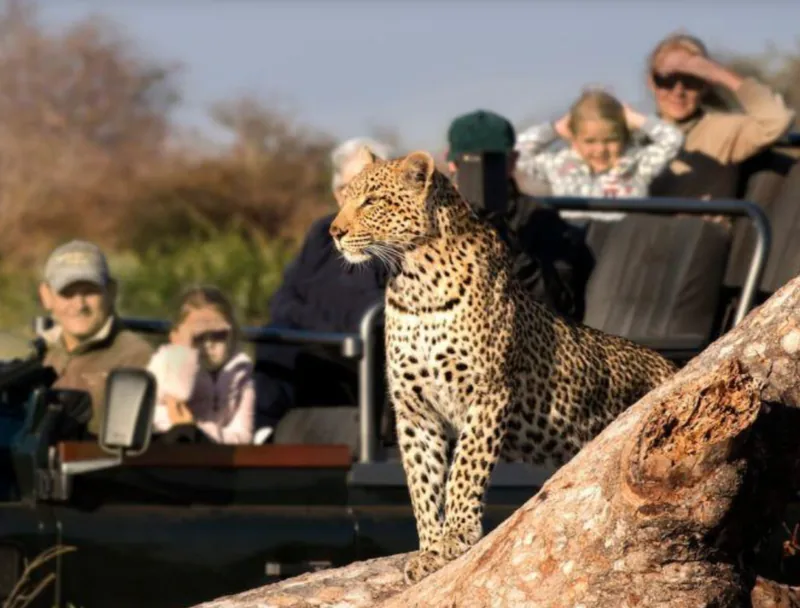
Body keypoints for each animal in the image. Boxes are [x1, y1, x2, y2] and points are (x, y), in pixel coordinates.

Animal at [329, 146, 678, 584]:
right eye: (344, 198)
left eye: (371, 201)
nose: (334, 232)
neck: (414, 284)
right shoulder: (415, 409)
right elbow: (423, 483)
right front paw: (430, 548)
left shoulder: (487, 395)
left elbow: (464, 471)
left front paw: (455, 537)